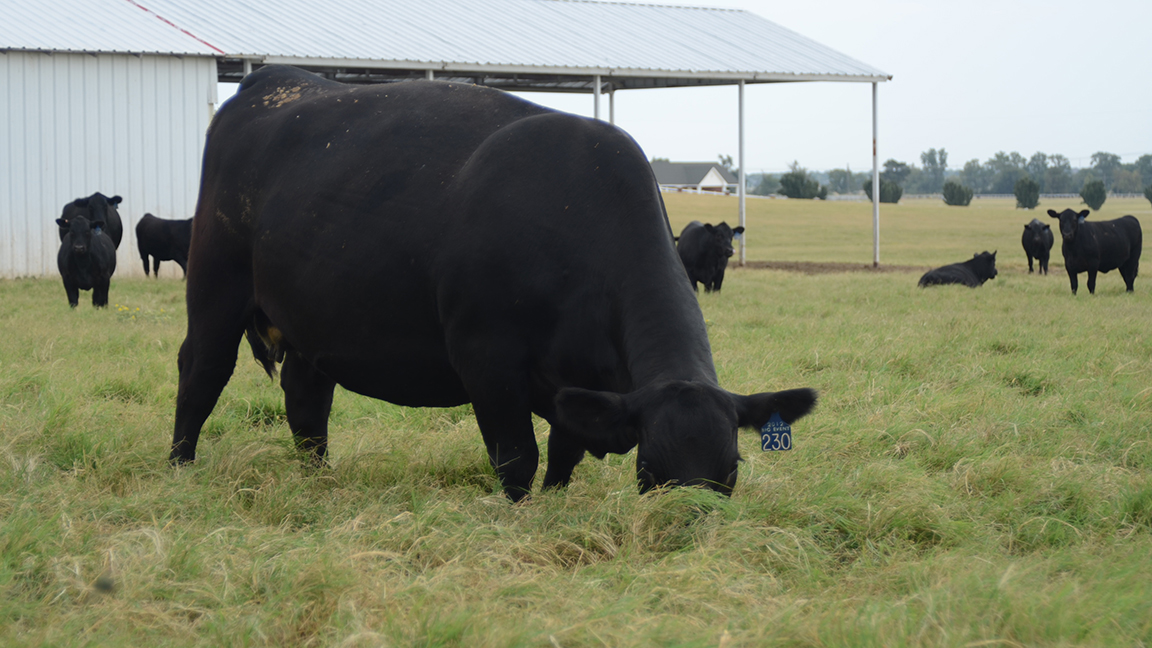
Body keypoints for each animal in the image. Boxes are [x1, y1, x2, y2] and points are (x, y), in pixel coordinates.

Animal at [171, 65, 817, 502]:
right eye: (651, 471)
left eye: (730, 471)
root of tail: (276, 79)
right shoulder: (487, 360)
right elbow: (517, 459)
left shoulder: (576, 390)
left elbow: (562, 458)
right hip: (216, 284)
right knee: (201, 371)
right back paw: (180, 468)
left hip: (312, 317)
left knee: (307, 399)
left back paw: (318, 480)